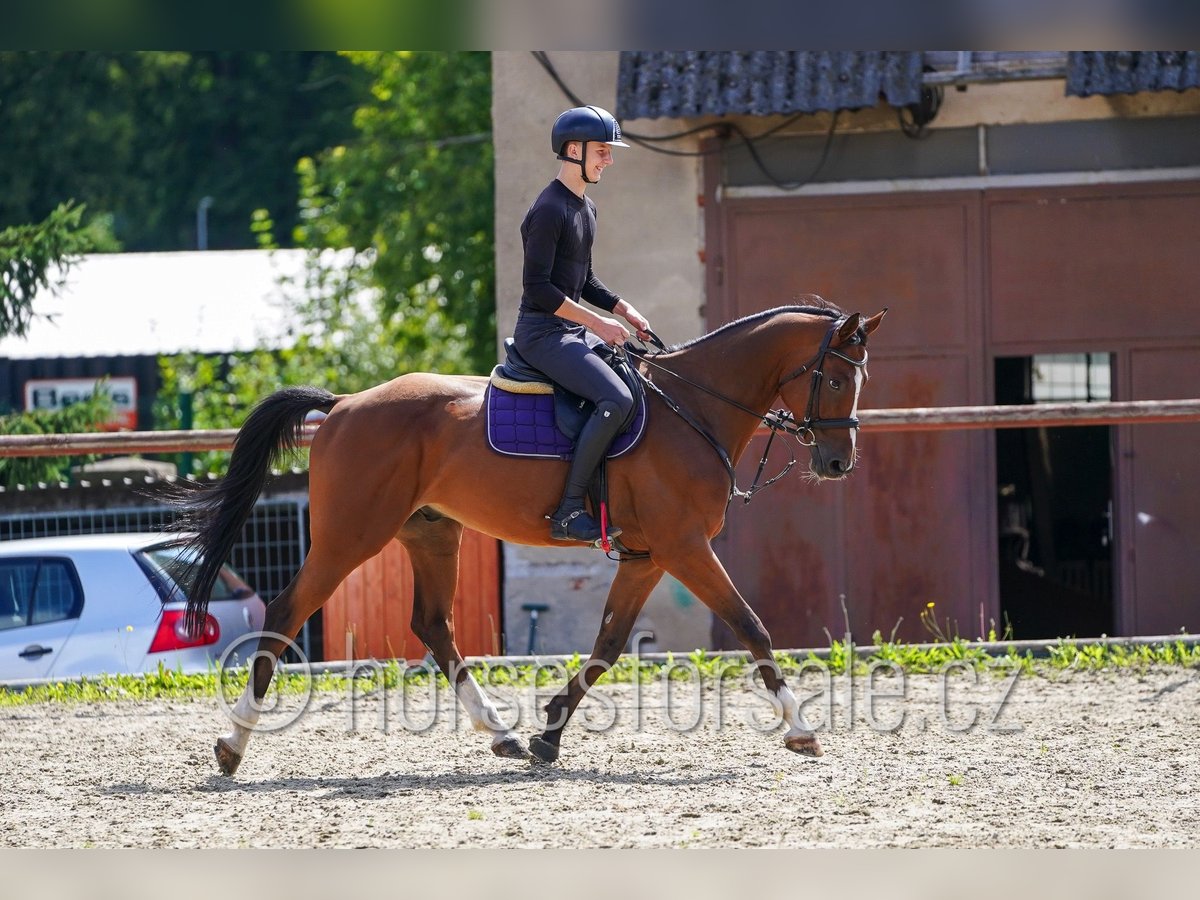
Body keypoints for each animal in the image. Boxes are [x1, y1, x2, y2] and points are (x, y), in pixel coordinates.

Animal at [170, 301, 886, 775]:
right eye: (833, 377)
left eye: (860, 379)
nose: (838, 463)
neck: (695, 409)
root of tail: (344, 404)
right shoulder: (684, 548)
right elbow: (752, 627)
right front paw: (801, 729)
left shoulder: (649, 556)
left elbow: (608, 645)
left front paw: (549, 732)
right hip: (351, 536)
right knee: (288, 611)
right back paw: (233, 745)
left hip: (432, 535)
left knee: (433, 625)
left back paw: (501, 735)